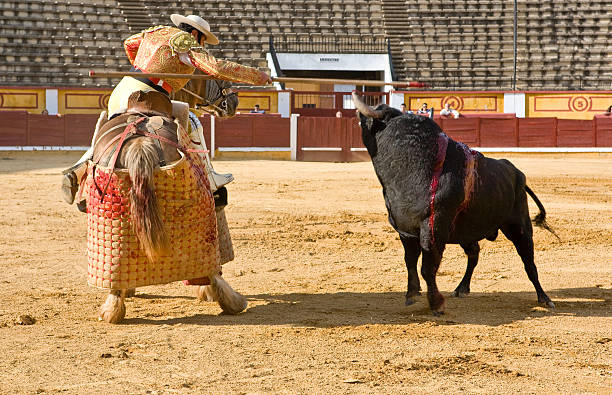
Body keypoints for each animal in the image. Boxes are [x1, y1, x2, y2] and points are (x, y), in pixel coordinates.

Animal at [354, 92, 560, 316]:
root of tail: (515, 171)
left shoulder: (434, 228)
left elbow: (428, 267)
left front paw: (436, 303)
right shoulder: (405, 229)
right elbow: (410, 262)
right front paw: (412, 295)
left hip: (519, 225)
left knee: (528, 261)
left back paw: (544, 298)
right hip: (467, 231)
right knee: (474, 254)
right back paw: (462, 287)